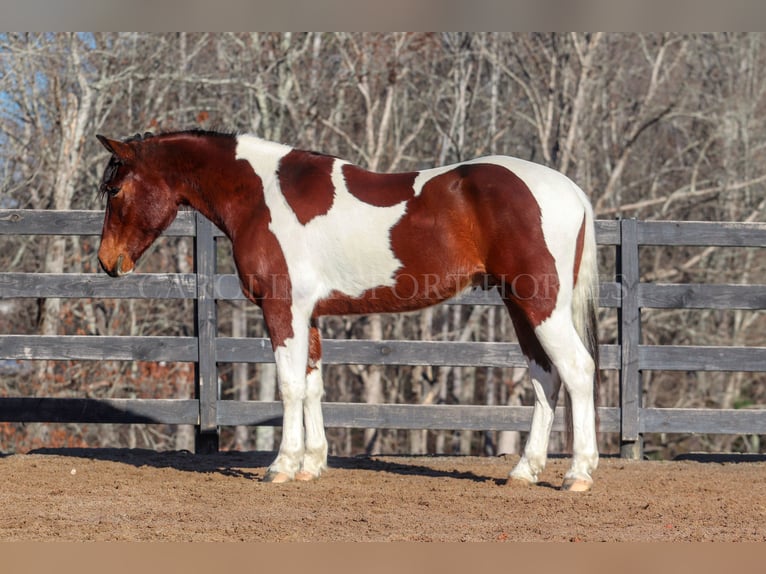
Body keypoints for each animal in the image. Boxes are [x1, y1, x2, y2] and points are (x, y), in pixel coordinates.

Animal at [94, 129, 600, 490]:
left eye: (114, 190)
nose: (106, 262)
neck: (260, 196)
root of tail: (571, 191)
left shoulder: (283, 310)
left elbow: (290, 386)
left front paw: (282, 466)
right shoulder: (309, 315)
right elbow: (313, 385)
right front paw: (312, 464)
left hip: (540, 304)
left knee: (577, 370)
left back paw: (578, 474)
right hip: (519, 305)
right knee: (545, 378)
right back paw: (525, 471)